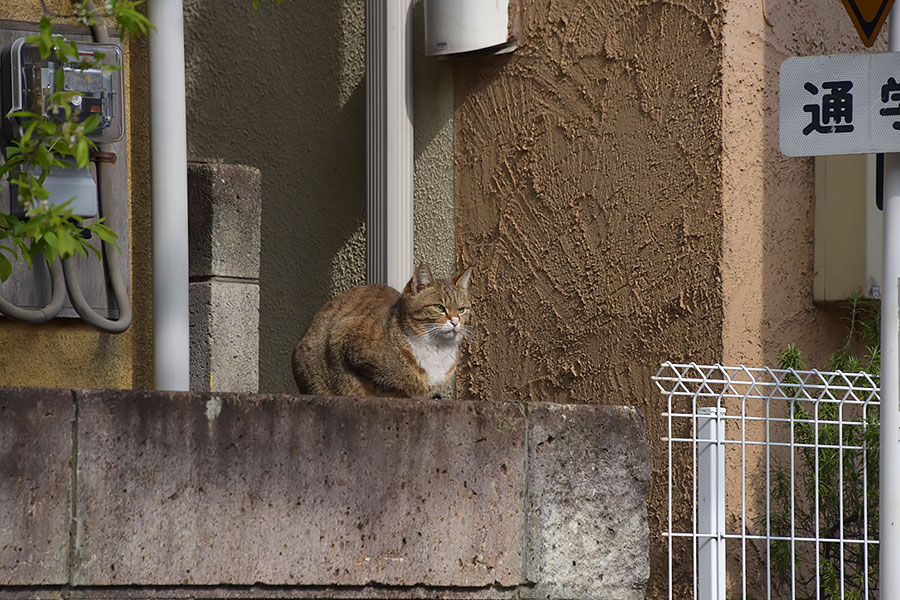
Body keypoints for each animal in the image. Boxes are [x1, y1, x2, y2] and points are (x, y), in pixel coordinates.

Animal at [290, 264, 474, 398]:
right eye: (439, 307)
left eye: (462, 309)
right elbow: (383, 387)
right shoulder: (343, 332)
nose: (455, 321)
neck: (435, 347)